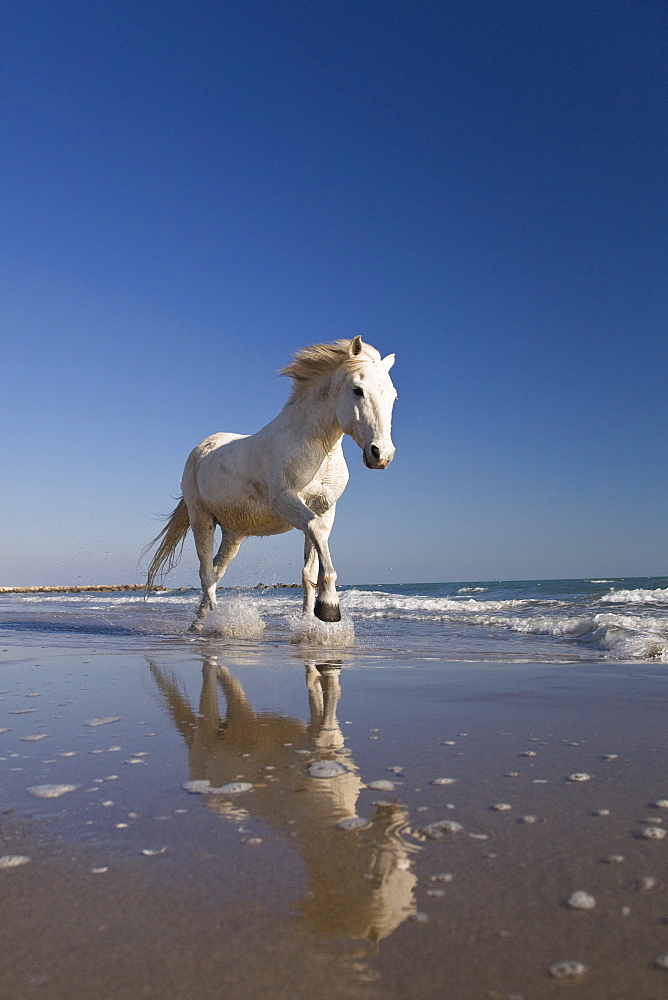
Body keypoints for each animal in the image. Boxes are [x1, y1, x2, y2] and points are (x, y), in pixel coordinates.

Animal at [145, 340, 396, 628]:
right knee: (206, 572)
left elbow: (310, 567)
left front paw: (311, 620)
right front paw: (330, 607)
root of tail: (202, 448)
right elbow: (317, 531)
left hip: (234, 532)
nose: (382, 454)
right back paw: (218, 622)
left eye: (393, 395)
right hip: (201, 518)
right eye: (358, 390)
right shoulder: (285, 502)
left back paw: (200, 622)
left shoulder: (326, 509)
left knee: (217, 571)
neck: (317, 447)